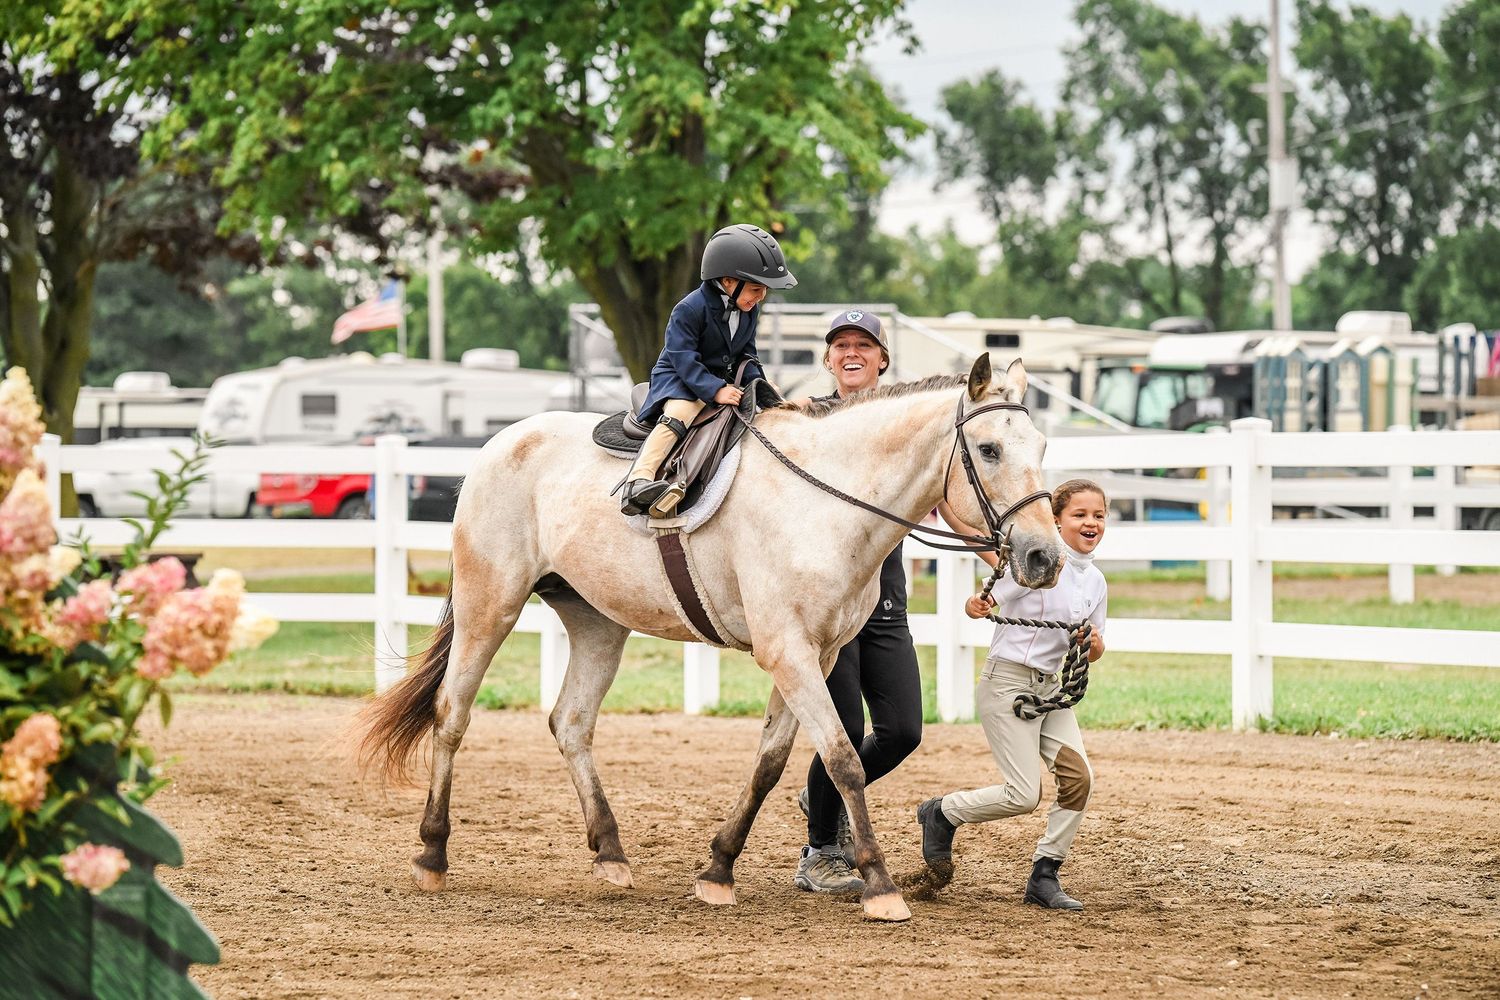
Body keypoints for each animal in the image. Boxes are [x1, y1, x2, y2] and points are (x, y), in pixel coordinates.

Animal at [360, 353, 1064, 922]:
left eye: (1042, 447)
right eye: (991, 450)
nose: (1043, 557)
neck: (825, 502)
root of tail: (499, 442)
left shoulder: (816, 655)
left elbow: (772, 762)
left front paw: (720, 868)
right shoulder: (789, 652)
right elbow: (842, 759)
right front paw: (880, 884)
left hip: (596, 623)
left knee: (571, 723)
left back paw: (610, 852)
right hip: (491, 606)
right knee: (452, 714)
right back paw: (432, 852)